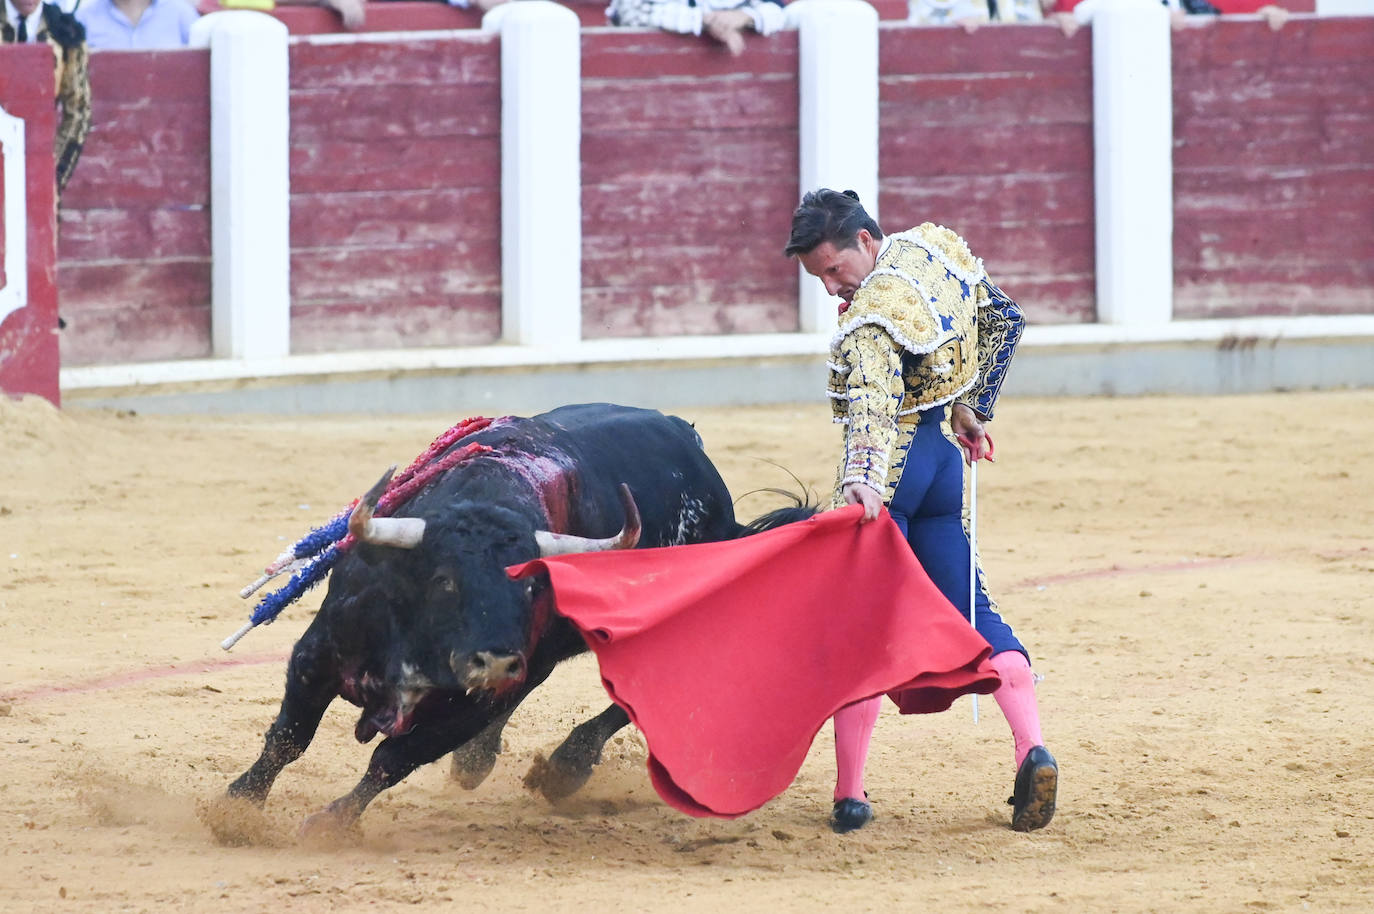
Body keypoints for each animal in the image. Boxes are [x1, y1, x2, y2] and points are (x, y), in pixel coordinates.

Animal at [208, 406, 807, 841]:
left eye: (533, 585)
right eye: (445, 579)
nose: (493, 659)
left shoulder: (472, 703)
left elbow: (391, 760)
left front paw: (330, 823)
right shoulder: (319, 655)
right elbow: (289, 738)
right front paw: (236, 808)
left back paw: (564, 768)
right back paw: (480, 762)